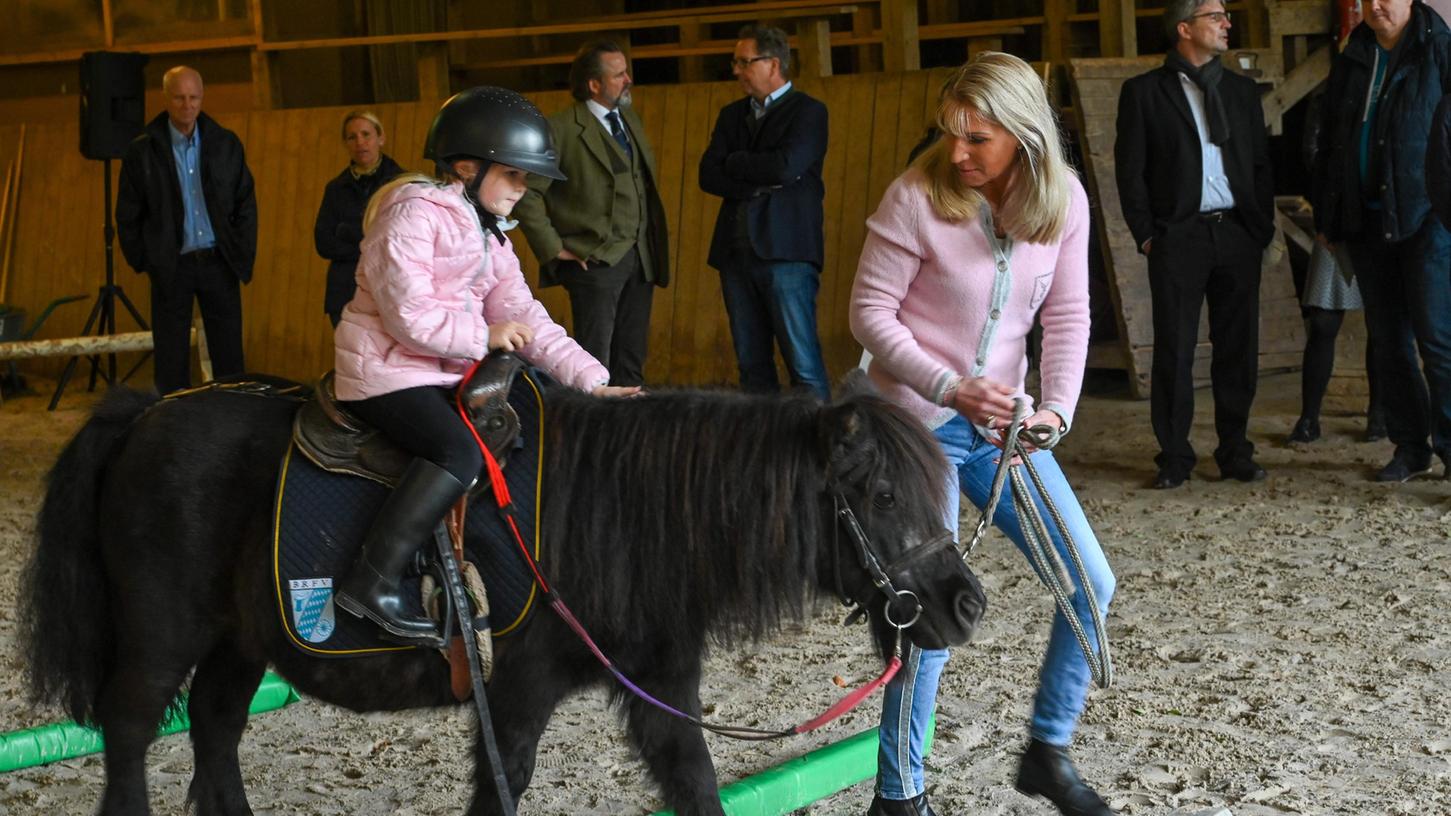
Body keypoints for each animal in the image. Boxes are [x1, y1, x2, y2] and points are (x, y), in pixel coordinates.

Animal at [19, 380, 986, 813]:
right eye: (884, 496)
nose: (964, 602)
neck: (613, 512)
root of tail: (143, 412)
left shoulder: (661, 692)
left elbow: (695, 780)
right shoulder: (513, 697)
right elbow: (502, 788)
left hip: (239, 639)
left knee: (215, 727)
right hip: (161, 632)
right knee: (132, 730)